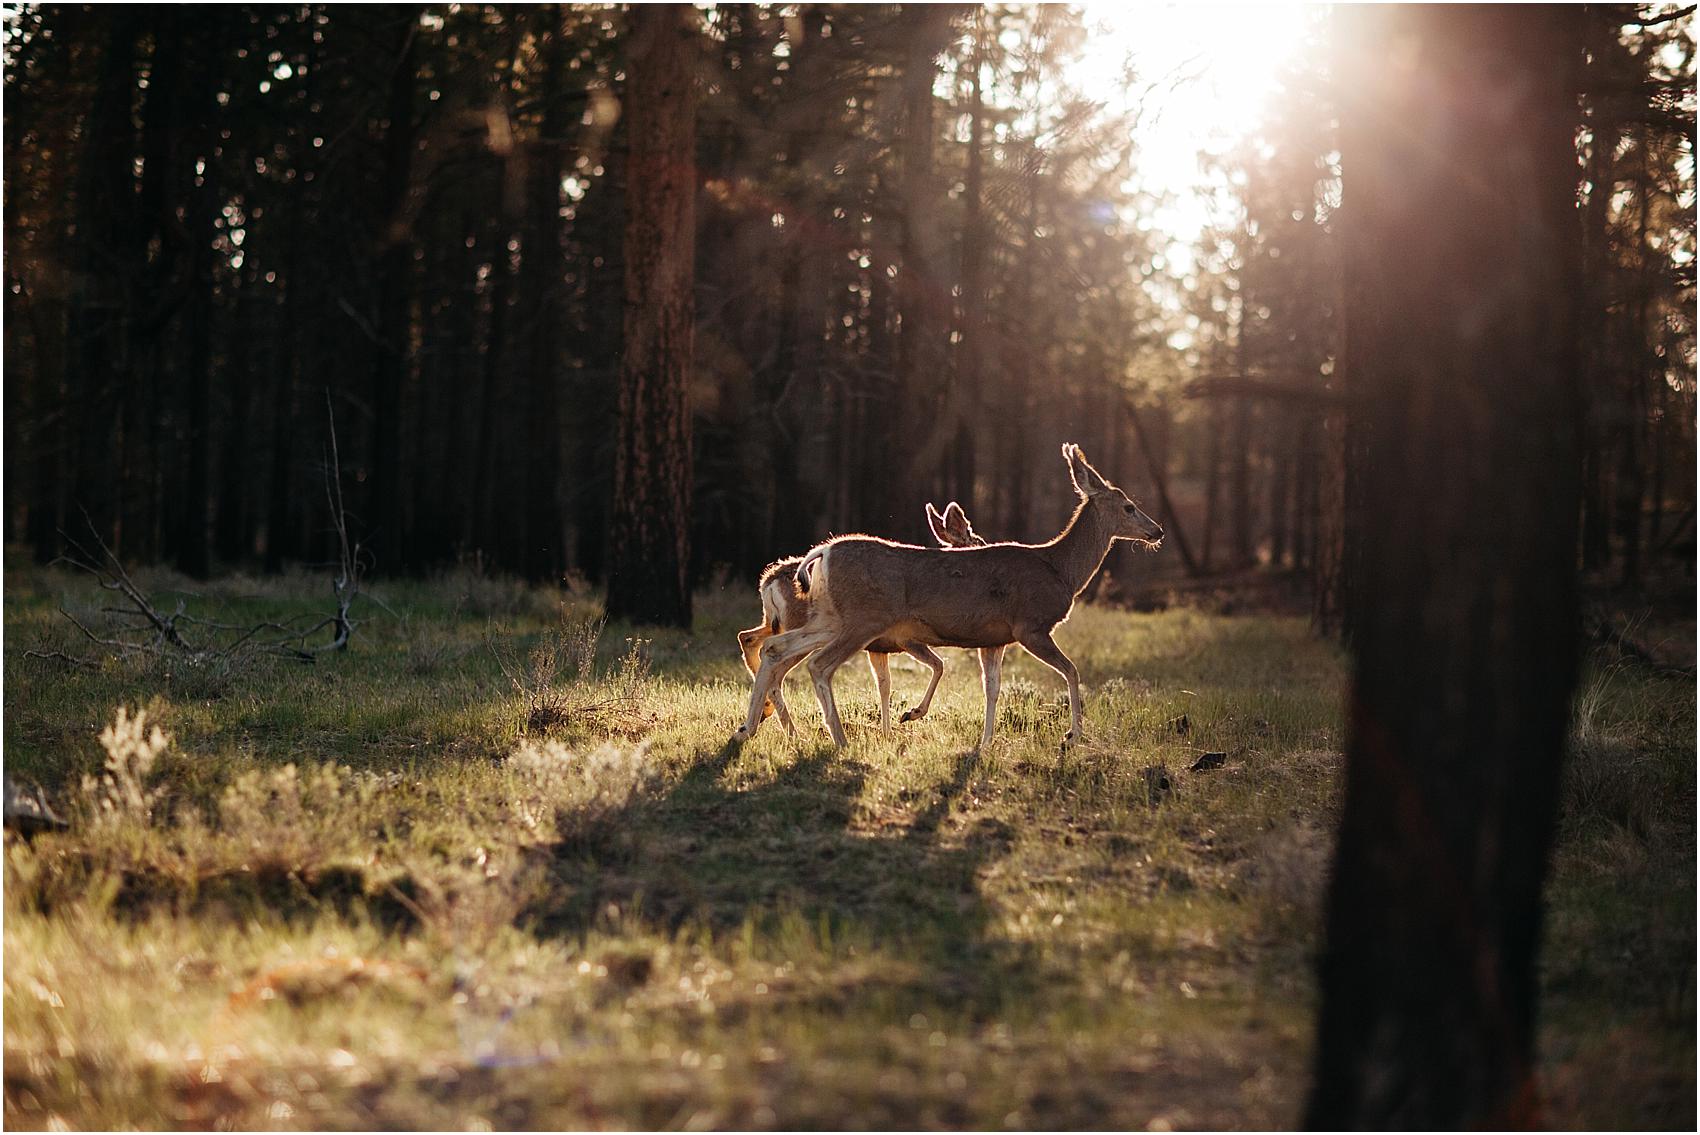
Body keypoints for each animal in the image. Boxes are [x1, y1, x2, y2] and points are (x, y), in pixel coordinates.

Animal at [737, 499, 992, 730]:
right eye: (978, 544)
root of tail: (768, 583)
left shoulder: (879, 647)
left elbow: (885, 684)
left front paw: (888, 732)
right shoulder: (904, 638)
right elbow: (938, 665)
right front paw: (910, 715)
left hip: (777, 622)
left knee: (748, 638)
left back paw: (764, 716)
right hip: (801, 623)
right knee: (775, 668)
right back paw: (785, 728)